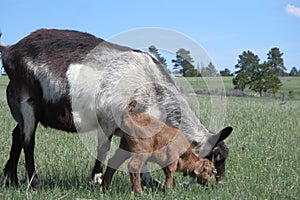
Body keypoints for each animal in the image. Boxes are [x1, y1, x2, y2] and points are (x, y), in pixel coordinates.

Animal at [0, 28, 233, 188]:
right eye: (216, 157)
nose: (219, 184)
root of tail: (11, 50)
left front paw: (150, 182)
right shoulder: (108, 119)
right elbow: (103, 149)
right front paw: (96, 180)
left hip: (21, 108)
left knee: (17, 135)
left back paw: (11, 179)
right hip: (26, 102)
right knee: (28, 141)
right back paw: (34, 182)